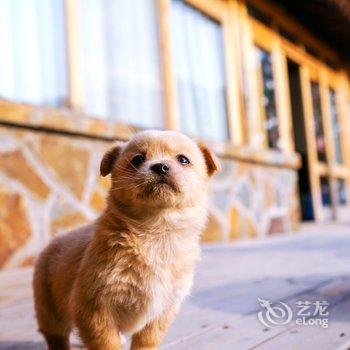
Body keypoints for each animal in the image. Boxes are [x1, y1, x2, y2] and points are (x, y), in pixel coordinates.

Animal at [32, 131, 219, 350]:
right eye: (137, 159)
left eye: (183, 159)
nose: (160, 166)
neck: (156, 232)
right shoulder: (95, 308)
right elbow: (107, 343)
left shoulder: (163, 311)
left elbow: (146, 341)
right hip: (48, 308)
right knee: (56, 336)